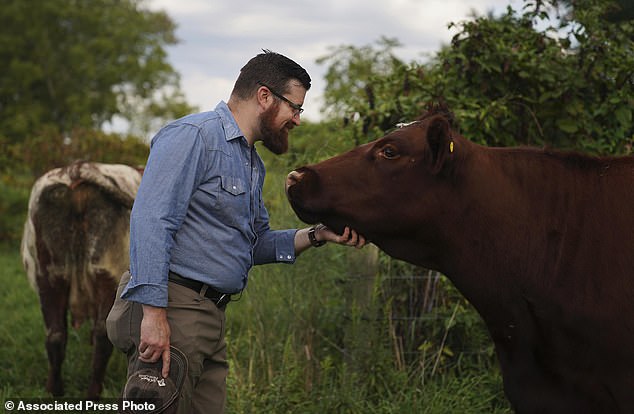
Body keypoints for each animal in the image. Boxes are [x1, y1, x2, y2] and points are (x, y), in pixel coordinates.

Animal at [21, 162, 142, 398]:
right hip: (103, 274)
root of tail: (76, 169)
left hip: (50, 276)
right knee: (96, 335)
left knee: (57, 335)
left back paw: (56, 391)